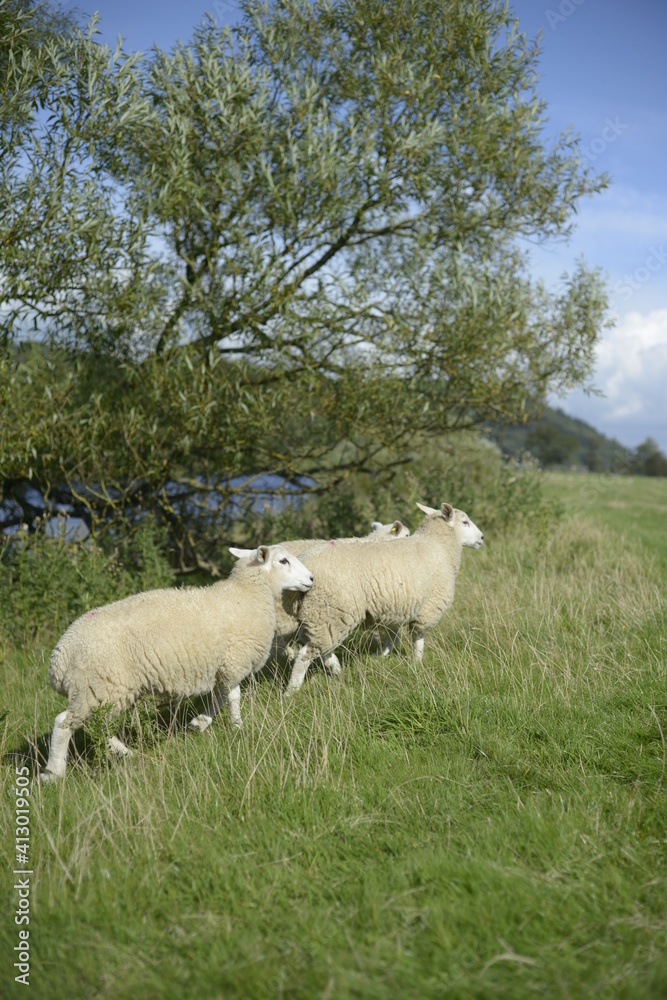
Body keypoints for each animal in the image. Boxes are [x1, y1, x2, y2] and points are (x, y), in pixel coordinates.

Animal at [39, 544, 314, 782]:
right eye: (283, 561)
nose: (311, 578)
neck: (246, 593)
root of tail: (59, 659)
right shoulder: (234, 660)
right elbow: (233, 697)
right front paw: (238, 727)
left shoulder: (222, 666)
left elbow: (220, 697)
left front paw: (199, 723)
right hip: (96, 688)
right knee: (63, 723)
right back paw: (54, 773)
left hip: (102, 692)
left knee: (98, 726)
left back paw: (128, 754)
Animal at [285, 502, 484, 695]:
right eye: (465, 522)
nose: (481, 538)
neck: (437, 545)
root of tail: (305, 565)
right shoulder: (428, 606)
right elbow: (418, 638)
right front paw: (417, 663)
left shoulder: (394, 609)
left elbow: (394, 638)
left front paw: (380, 656)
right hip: (330, 611)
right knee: (306, 655)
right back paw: (291, 692)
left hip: (319, 615)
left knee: (320, 648)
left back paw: (337, 671)